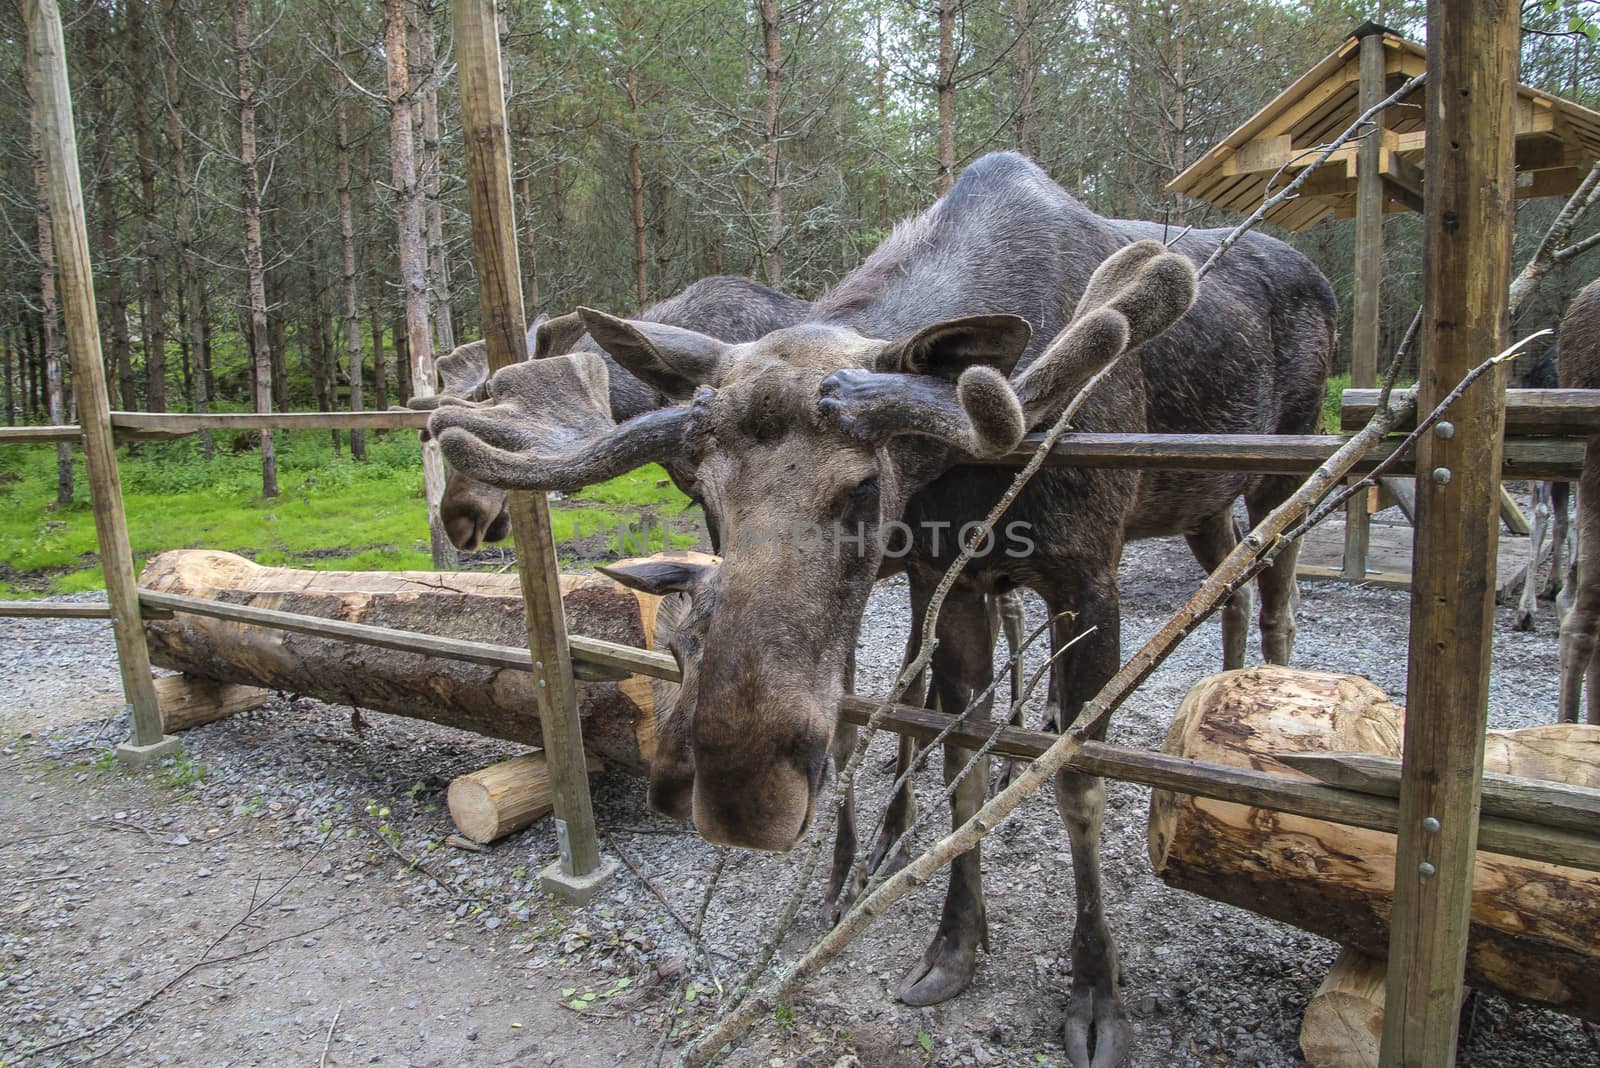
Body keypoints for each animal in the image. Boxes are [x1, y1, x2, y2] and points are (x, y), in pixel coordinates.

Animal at [432, 151, 1331, 1068]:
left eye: (865, 487)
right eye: (706, 490)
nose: (740, 793)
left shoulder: (1085, 577)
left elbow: (1073, 780)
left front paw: (1095, 993)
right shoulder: (951, 576)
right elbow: (946, 749)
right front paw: (947, 939)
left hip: (1281, 467)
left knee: (1278, 598)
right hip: (1199, 503)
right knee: (1229, 579)